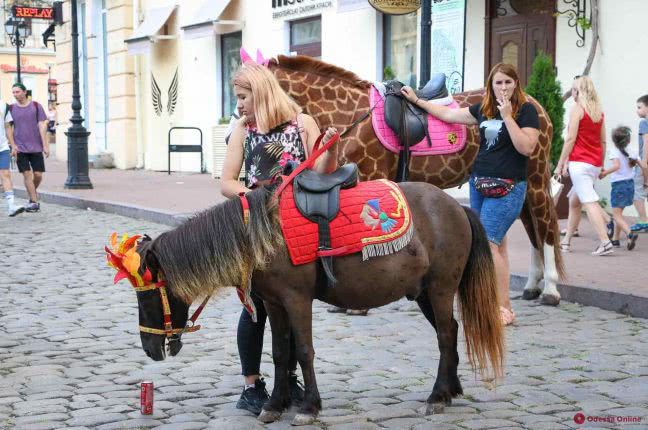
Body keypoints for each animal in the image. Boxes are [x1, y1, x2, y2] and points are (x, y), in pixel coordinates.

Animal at [120, 181, 506, 426]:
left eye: (149, 292)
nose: (149, 349)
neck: (263, 233)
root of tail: (457, 206)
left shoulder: (297, 300)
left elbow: (303, 351)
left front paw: (308, 406)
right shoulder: (274, 303)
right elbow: (279, 353)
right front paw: (275, 404)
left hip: (440, 288)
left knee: (445, 336)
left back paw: (438, 396)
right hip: (424, 292)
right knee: (451, 331)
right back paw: (451, 388)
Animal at [266, 54, 564, 306]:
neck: (351, 114)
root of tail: (535, 104)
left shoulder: (371, 176)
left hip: (536, 178)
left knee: (546, 226)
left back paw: (550, 289)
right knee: (532, 229)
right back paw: (532, 285)